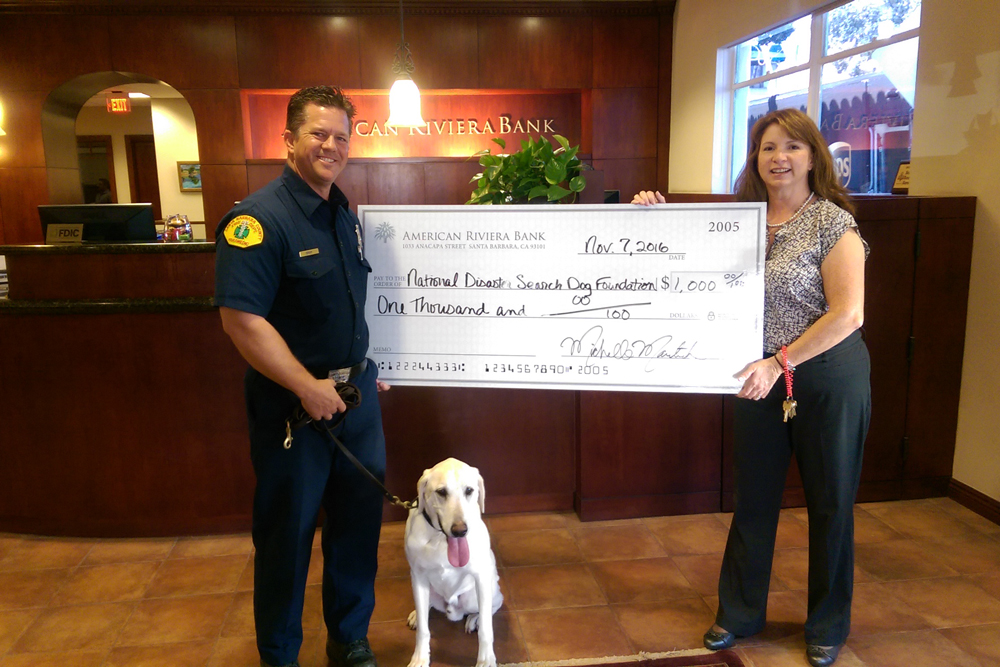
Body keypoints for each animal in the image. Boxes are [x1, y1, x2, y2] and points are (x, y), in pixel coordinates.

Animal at [404, 460, 504, 667]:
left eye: (469, 490)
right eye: (441, 492)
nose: (460, 531)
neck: (441, 540)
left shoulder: (481, 577)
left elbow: (486, 629)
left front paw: (486, 659)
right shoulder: (418, 576)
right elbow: (424, 630)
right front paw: (420, 657)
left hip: (475, 596)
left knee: (495, 603)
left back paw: (475, 618)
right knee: (426, 607)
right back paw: (417, 614)